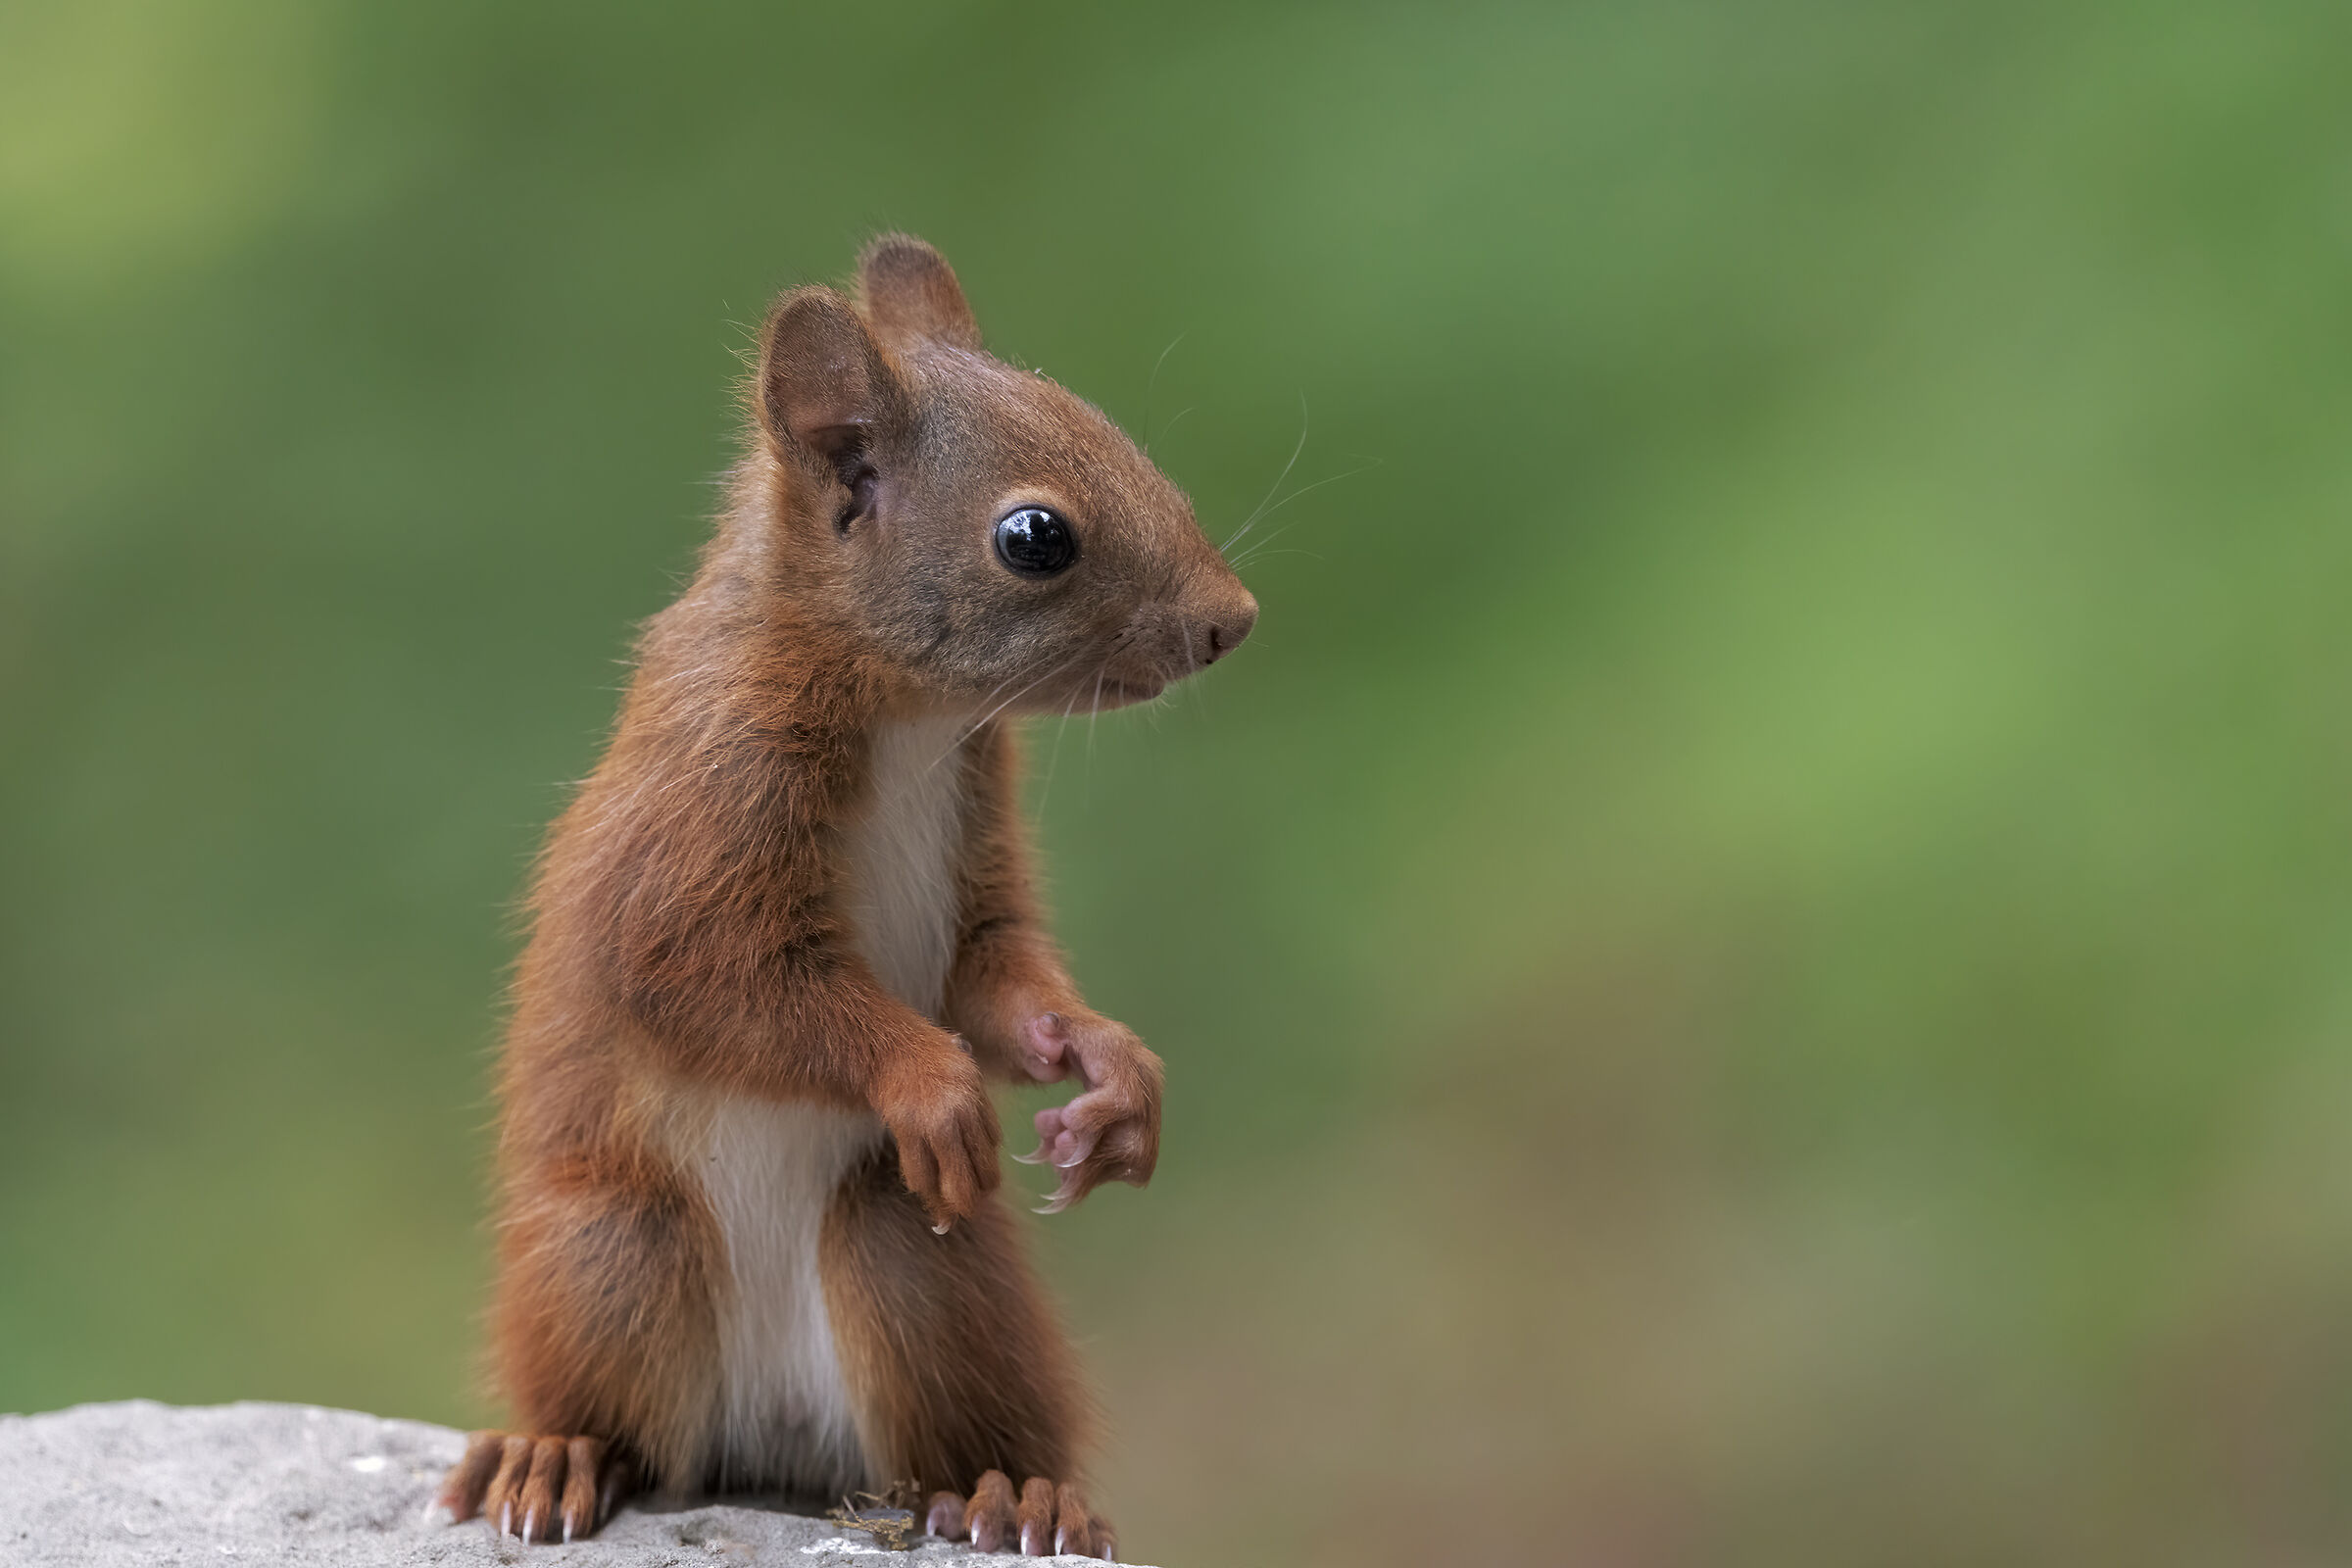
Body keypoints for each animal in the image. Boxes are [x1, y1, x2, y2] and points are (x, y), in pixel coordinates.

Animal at [427, 235, 1256, 1559]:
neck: (909, 717)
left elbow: (999, 975)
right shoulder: (692, 827)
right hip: (611, 1248)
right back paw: (552, 1454)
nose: (1234, 621)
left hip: (924, 1265)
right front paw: (928, 1082)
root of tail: (772, 1448)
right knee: (615, 1394)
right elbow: (722, 986)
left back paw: (1015, 1492)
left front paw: (1111, 1068)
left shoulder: (977, 850)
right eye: (1035, 536)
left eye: (1114, 429)